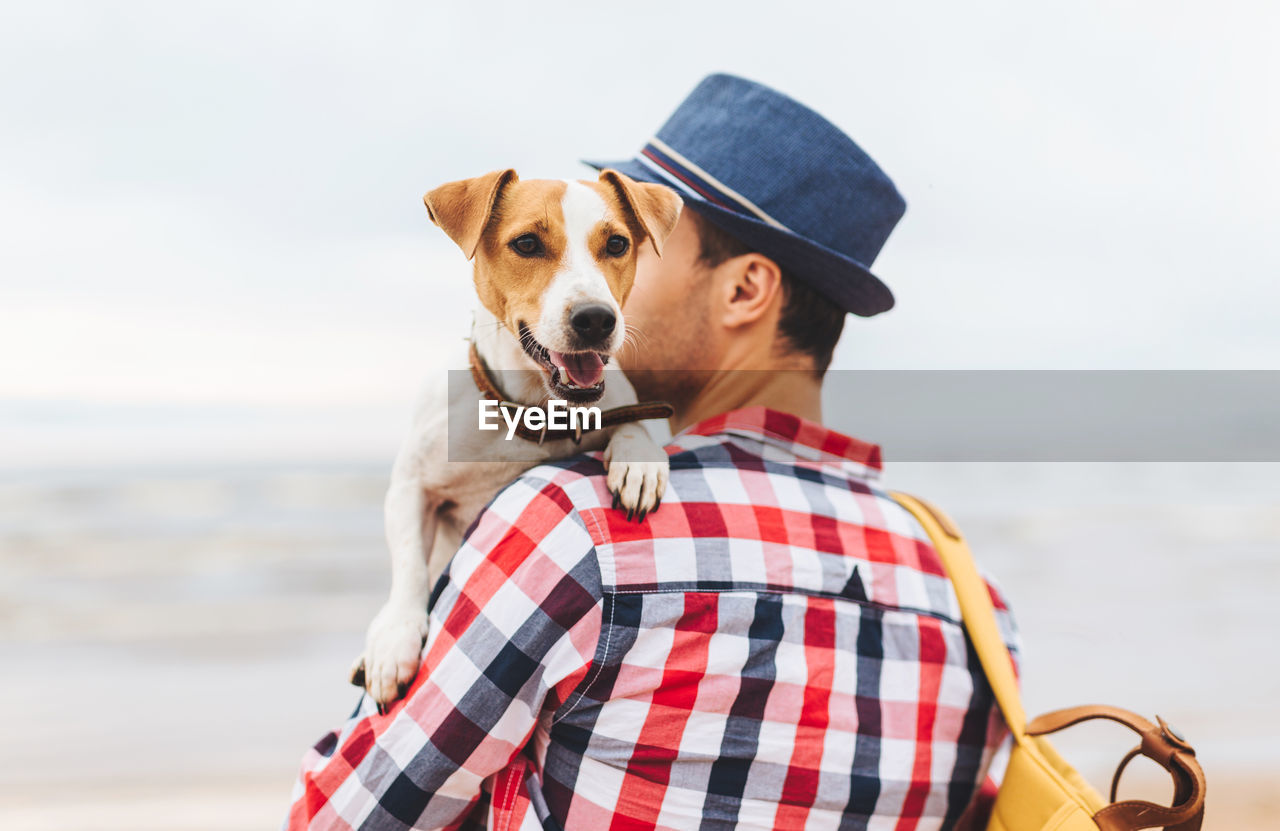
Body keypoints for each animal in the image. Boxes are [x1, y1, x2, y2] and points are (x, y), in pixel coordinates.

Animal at [350, 169, 680, 706]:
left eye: (617, 243)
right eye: (526, 243)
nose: (596, 318)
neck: (531, 409)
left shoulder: (628, 402)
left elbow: (636, 418)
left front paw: (638, 460)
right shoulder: (411, 487)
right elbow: (410, 563)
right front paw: (394, 638)